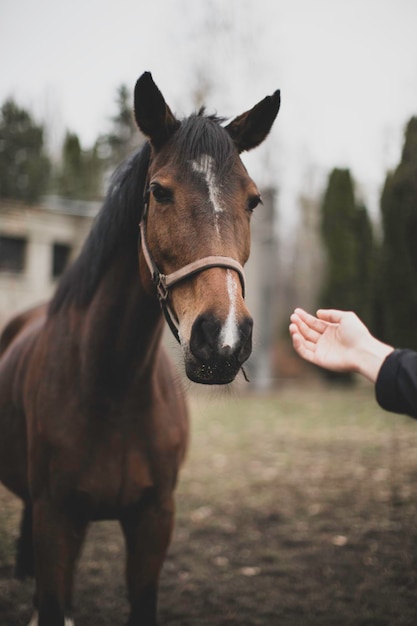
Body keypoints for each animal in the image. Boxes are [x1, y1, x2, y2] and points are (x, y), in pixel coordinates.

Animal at [0, 73, 280, 624]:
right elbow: (52, 597)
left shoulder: (154, 520)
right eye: (159, 191)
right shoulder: (55, 517)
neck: (112, 389)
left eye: (254, 201)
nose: (224, 337)